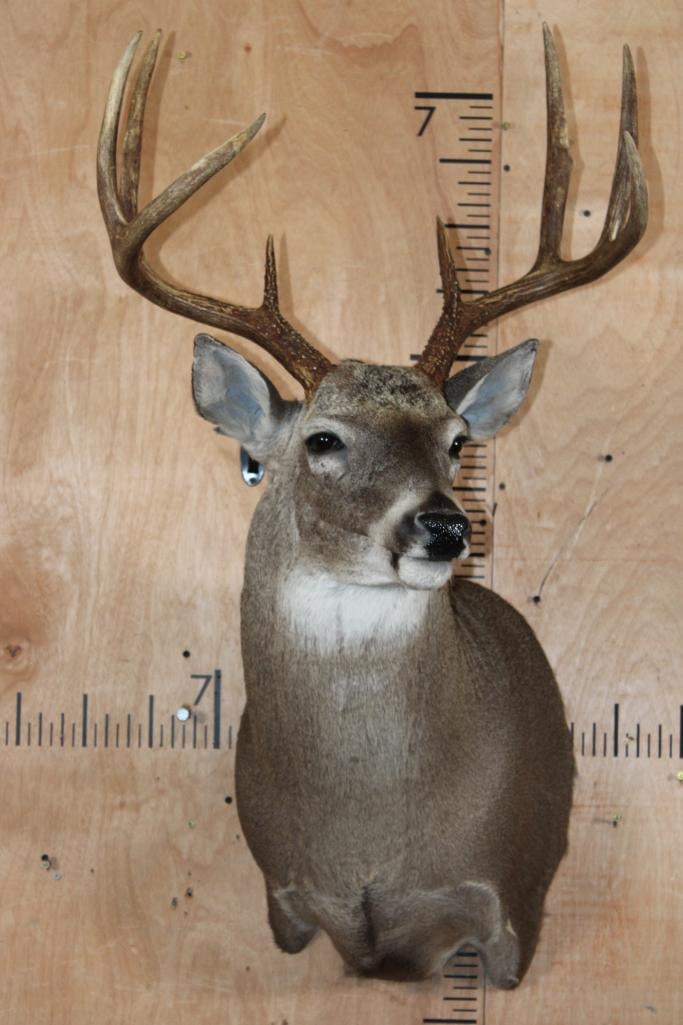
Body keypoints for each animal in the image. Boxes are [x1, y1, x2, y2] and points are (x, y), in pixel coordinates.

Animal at [98, 26, 647, 986]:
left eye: (457, 440)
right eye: (322, 439)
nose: (445, 525)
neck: (365, 838)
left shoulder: (509, 903)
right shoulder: (283, 897)